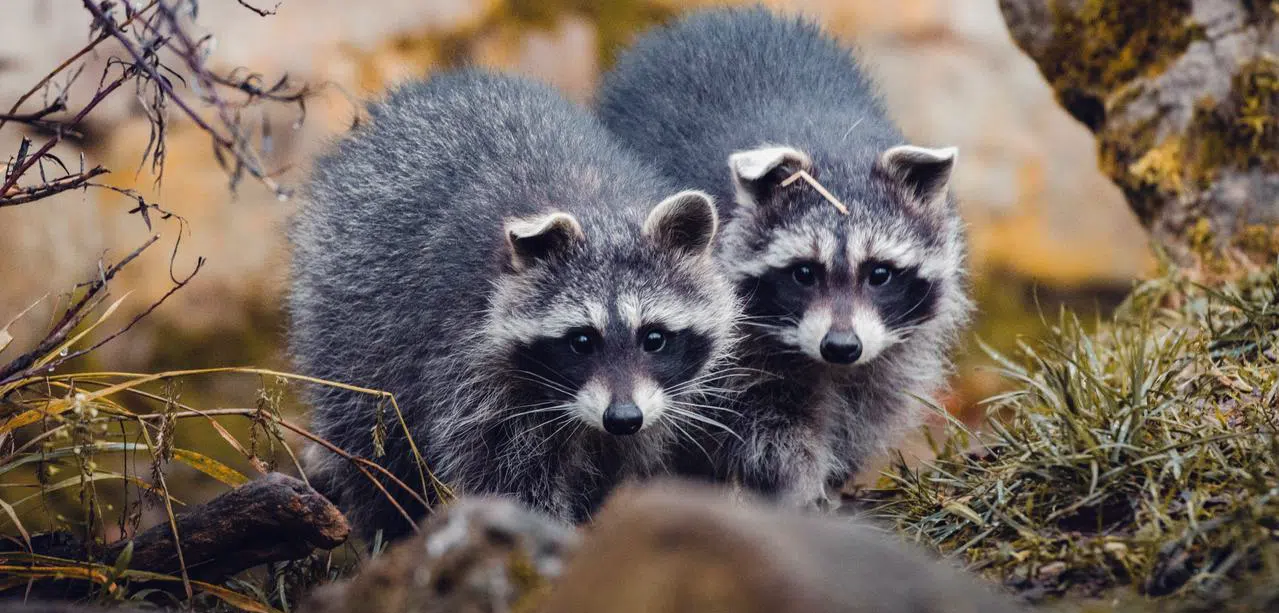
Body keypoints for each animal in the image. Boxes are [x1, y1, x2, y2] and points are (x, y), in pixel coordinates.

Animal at [289, 71, 739, 541]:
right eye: (581, 341)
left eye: (654, 338)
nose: (622, 417)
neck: (598, 209)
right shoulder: (469, 363)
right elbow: (506, 477)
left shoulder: (655, 406)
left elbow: (620, 465)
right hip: (350, 313)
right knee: (370, 444)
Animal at [596, 8, 973, 508]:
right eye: (804, 273)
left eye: (879, 273)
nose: (841, 346)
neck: (834, 146)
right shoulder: (732, 343)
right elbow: (762, 422)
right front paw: (796, 480)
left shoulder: (893, 344)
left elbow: (870, 404)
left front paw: (835, 473)